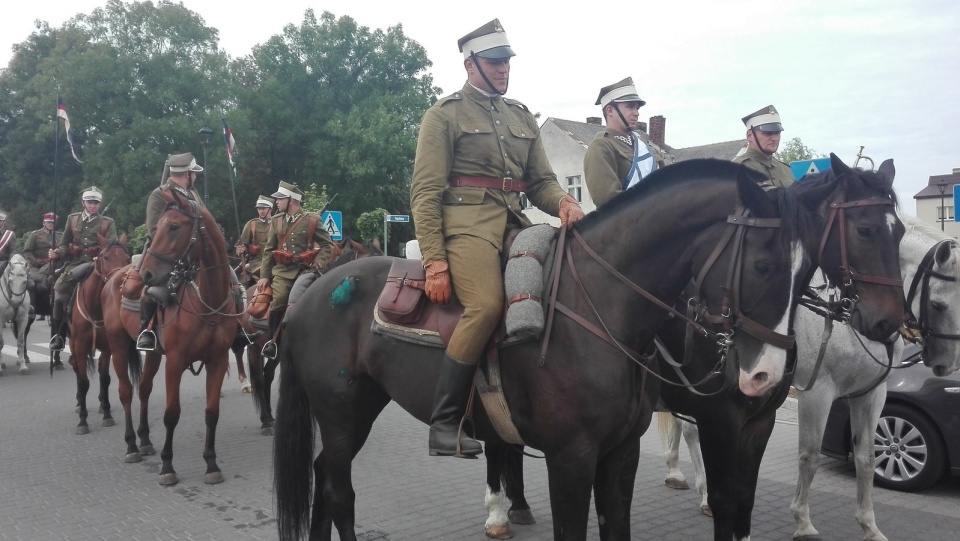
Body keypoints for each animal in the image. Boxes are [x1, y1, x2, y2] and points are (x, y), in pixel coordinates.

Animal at [68, 237, 131, 434]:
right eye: (106, 257)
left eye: (127, 258)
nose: (119, 282)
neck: (95, 306)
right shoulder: (80, 346)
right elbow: (83, 381)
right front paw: (82, 421)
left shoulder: (108, 347)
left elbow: (105, 379)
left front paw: (107, 414)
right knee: (76, 369)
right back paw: (79, 403)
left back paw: (102, 404)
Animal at [101, 190, 240, 486]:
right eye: (160, 226)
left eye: (174, 227)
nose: (147, 274)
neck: (208, 302)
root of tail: (115, 277)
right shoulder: (175, 362)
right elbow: (171, 413)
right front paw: (167, 466)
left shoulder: (218, 360)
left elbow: (212, 413)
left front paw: (211, 464)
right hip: (118, 347)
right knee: (126, 391)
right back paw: (132, 446)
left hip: (153, 353)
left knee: (143, 389)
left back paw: (144, 441)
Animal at [272, 158, 824, 536]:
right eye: (763, 266)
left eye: (808, 272)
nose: (767, 375)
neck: (602, 304)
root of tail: (310, 295)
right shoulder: (571, 457)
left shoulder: (621, 453)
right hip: (341, 414)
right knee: (338, 489)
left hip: (356, 410)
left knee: (324, 480)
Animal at [488, 154, 908, 536]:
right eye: (865, 230)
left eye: (900, 232)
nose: (888, 323)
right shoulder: (730, 414)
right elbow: (739, 492)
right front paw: (801, 522)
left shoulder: (767, 419)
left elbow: (756, 495)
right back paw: (498, 511)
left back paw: (520, 505)